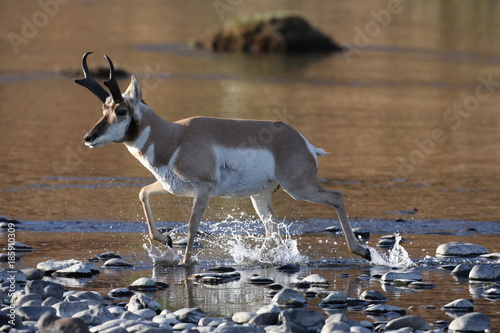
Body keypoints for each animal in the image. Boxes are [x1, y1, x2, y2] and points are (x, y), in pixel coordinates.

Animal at [75, 52, 372, 264]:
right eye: (104, 109)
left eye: (121, 110)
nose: (88, 138)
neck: (175, 136)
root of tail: (301, 141)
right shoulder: (173, 187)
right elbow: (142, 193)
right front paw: (166, 239)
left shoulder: (203, 188)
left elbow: (193, 225)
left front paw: (184, 261)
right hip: (261, 196)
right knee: (273, 230)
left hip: (298, 189)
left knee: (336, 197)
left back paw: (362, 251)